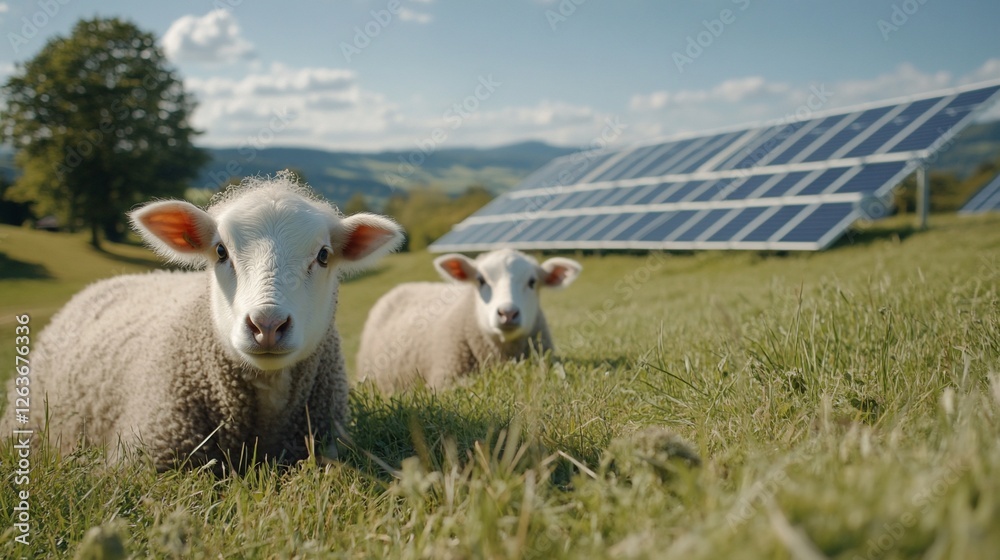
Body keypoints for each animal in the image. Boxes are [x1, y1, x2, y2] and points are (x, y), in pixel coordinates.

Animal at [357, 249, 581, 392]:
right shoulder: (444, 379)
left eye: (532, 282)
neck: (503, 352)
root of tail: (403, 286)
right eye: (481, 280)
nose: (508, 313)